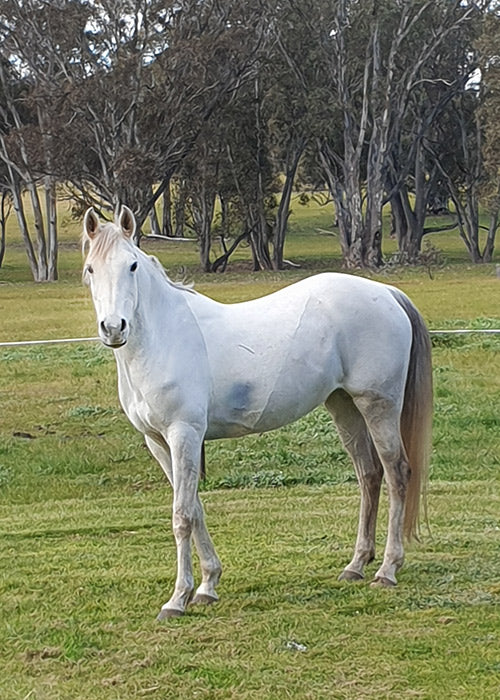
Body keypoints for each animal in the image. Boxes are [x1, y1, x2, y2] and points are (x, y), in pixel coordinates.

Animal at [83, 206, 434, 616]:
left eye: (133, 265)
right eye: (91, 268)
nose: (113, 328)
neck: (163, 338)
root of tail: (387, 293)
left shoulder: (184, 434)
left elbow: (182, 516)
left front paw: (178, 598)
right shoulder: (158, 441)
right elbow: (195, 508)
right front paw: (208, 585)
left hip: (379, 406)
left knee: (397, 474)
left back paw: (388, 569)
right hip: (344, 406)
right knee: (369, 475)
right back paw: (357, 564)